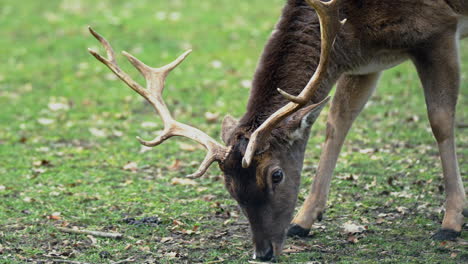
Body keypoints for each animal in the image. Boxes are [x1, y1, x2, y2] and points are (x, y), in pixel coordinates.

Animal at [88, 0, 468, 260]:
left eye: (276, 175)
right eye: (229, 188)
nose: (264, 253)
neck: (349, 23)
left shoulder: (439, 31)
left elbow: (440, 121)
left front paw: (451, 221)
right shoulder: (364, 59)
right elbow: (337, 122)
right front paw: (305, 219)